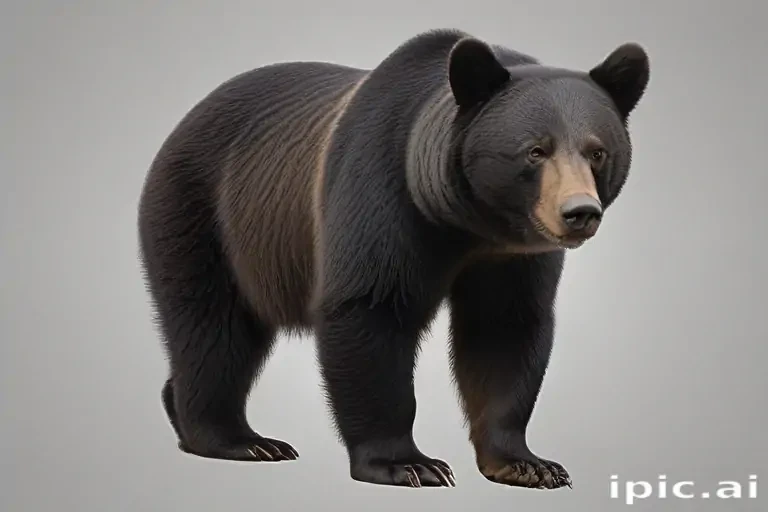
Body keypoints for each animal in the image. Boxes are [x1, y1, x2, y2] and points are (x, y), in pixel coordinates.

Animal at [137, 28, 649, 489]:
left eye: (597, 151)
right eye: (535, 151)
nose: (579, 212)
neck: (468, 225)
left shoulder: (515, 255)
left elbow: (505, 329)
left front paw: (527, 464)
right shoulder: (383, 191)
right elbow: (371, 310)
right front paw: (409, 465)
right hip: (205, 214)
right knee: (213, 326)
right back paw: (239, 439)